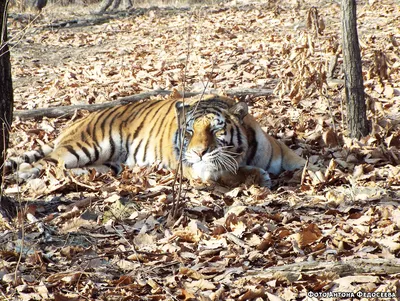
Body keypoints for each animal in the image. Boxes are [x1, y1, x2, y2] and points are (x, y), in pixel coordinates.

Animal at [7, 93, 306, 188]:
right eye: (189, 132)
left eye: (215, 131)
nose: (197, 152)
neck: (243, 152)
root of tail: (75, 122)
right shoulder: (198, 170)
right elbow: (227, 172)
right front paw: (259, 177)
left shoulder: (281, 152)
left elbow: (305, 164)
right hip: (84, 147)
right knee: (46, 164)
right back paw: (24, 177)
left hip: (108, 162)